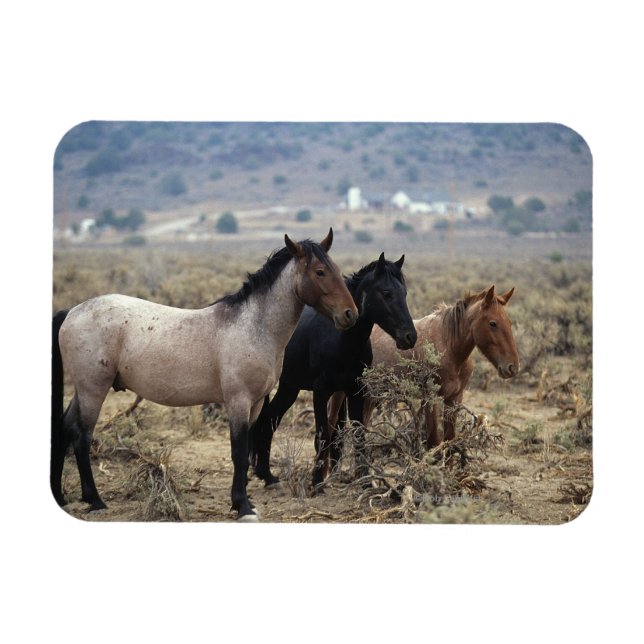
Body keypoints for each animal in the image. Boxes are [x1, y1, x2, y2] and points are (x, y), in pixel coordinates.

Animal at [51, 229, 358, 521]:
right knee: (81, 436)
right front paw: (242, 506)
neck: (253, 327)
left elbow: (247, 447)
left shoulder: (257, 403)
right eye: (320, 272)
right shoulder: (238, 401)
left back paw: (62, 497)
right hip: (93, 389)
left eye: (336, 267)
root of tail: (72, 311)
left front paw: (245, 500)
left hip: (83, 391)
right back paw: (95, 501)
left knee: (65, 428)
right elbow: (238, 453)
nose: (350, 314)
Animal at [249, 252, 417, 490]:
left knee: (270, 420)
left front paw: (365, 481)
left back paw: (267, 476)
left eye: (404, 293)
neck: (341, 340)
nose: (410, 337)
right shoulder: (321, 391)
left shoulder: (355, 391)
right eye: (386, 293)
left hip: (290, 387)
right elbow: (322, 435)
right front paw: (317, 482)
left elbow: (357, 434)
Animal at [328, 285, 520, 448]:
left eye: (510, 322)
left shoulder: (454, 399)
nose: (512, 367)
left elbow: (450, 441)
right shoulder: (431, 398)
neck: (450, 347)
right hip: (342, 394)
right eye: (493, 323)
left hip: (369, 395)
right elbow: (434, 441)